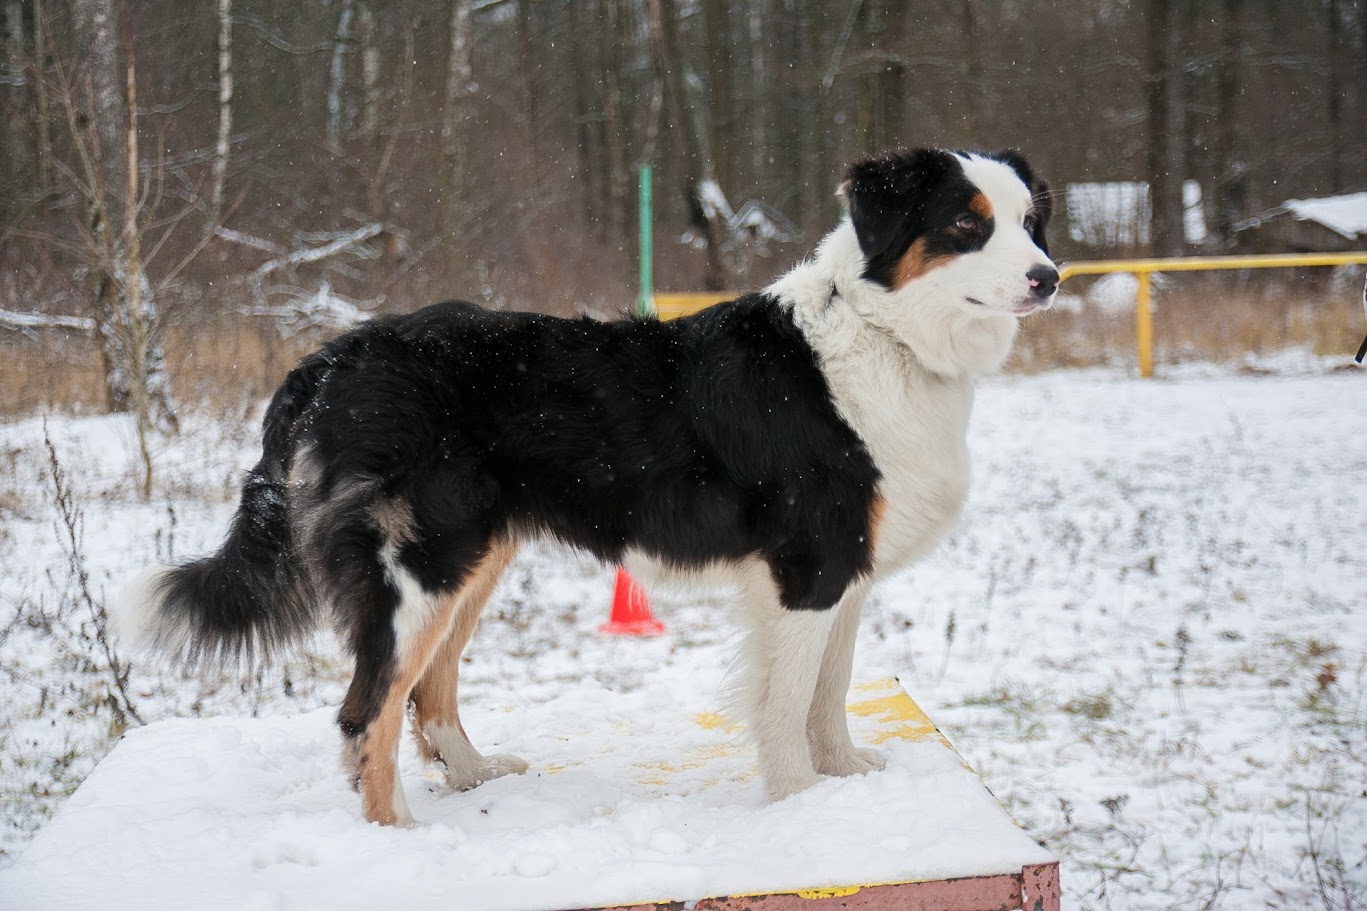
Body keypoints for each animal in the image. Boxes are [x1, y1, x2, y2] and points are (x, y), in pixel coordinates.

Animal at [120, 145, 1055, 820]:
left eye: (1029, 220)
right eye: (966, 223)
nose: (1048, 277)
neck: (885, 334)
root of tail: (333, 355)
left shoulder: (841, 572)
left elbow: (829, 693)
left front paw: (847, 775)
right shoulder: (807, 567)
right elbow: (788, 701)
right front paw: (798, 803)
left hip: (471, 560)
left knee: (426, 691)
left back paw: (475, 774)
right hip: (418, 566)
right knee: (368, 709)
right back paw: (399, 837)